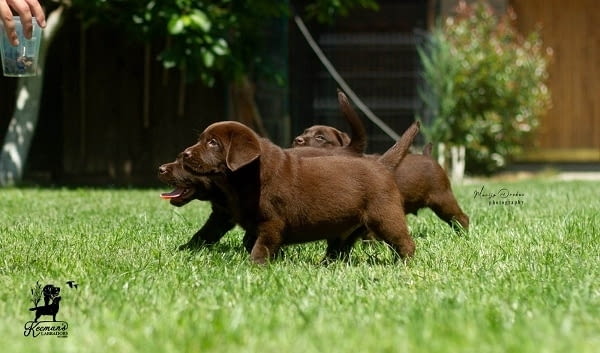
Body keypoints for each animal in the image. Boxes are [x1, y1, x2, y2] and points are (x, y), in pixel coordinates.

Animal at [180, 119, 414, 262]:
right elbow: (249, 242)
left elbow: (261, 247)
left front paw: (254, 266)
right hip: (347, 227)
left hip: (385, 216)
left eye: (212, 143)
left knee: (404, 242)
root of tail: (381, 164)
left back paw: (403, 263)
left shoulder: (272, 223)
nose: (184, 153)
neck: (251, 176)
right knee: (339, 249)